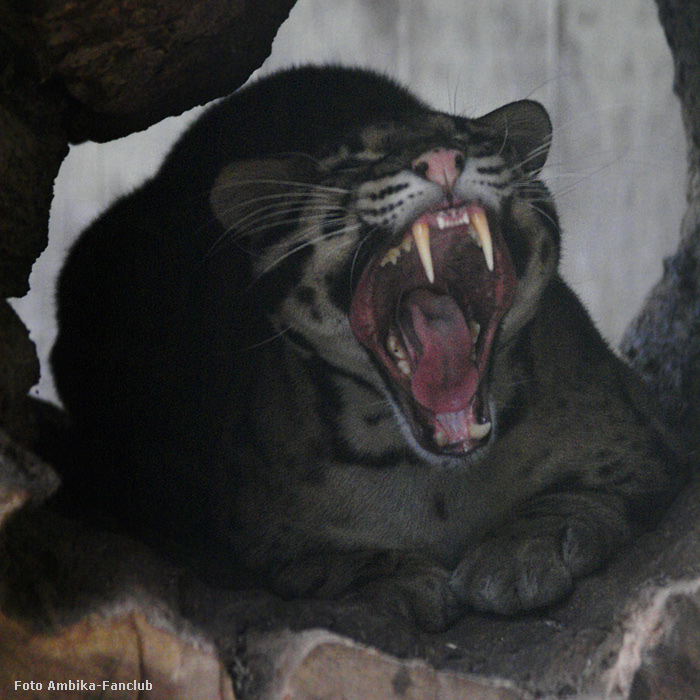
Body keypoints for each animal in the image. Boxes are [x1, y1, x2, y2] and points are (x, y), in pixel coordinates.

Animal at [53, 68, 684, 632]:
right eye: (353, 166)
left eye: (470, 140)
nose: (442, 160)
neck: (438, 482)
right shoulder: (254, 538)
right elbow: (317, 562)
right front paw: (400, 578)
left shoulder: (644, 437)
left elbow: (579, 493)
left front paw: (520, 552)